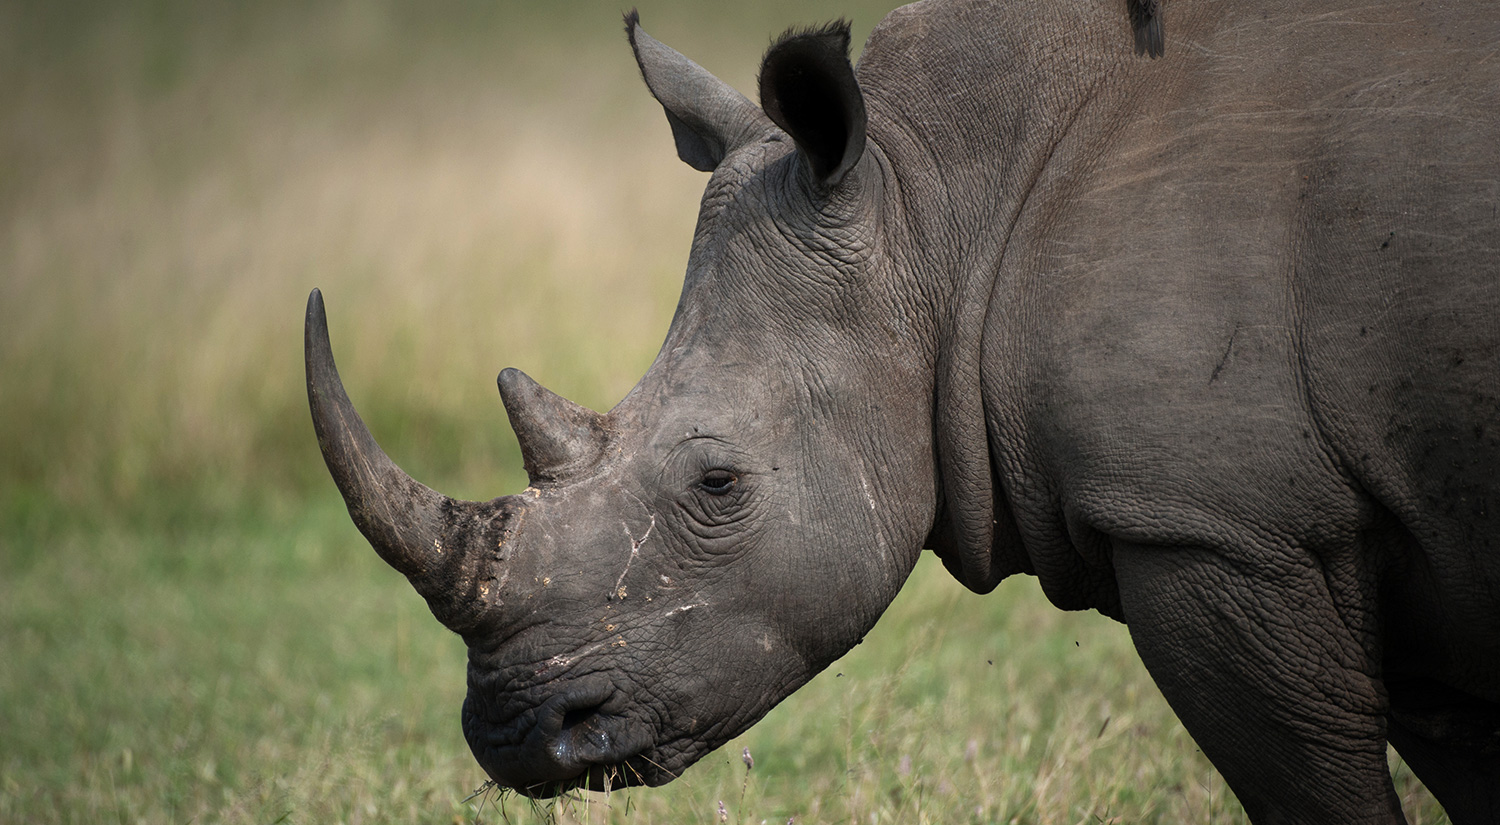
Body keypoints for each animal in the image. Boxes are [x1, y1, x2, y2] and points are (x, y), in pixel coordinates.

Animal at [304, 1, 1500, 822]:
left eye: (718, 483)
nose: (516, 732)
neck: (940, 201)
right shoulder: (1391, 525)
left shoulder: (1217, 524)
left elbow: (1313, 794)